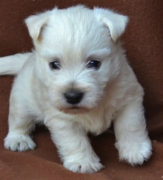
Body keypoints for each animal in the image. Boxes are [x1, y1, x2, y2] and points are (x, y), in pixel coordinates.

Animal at [0, 5, 152, 173]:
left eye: (94, 63)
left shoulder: (129, 98)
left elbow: (131, 125)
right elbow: (75, 141)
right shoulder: (61, 118)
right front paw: (83, 162)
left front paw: (135, 150)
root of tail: (29, 57)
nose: (72, 96)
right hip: (21, 101)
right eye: (54, 64)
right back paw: (18, 140)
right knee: (18, 122)